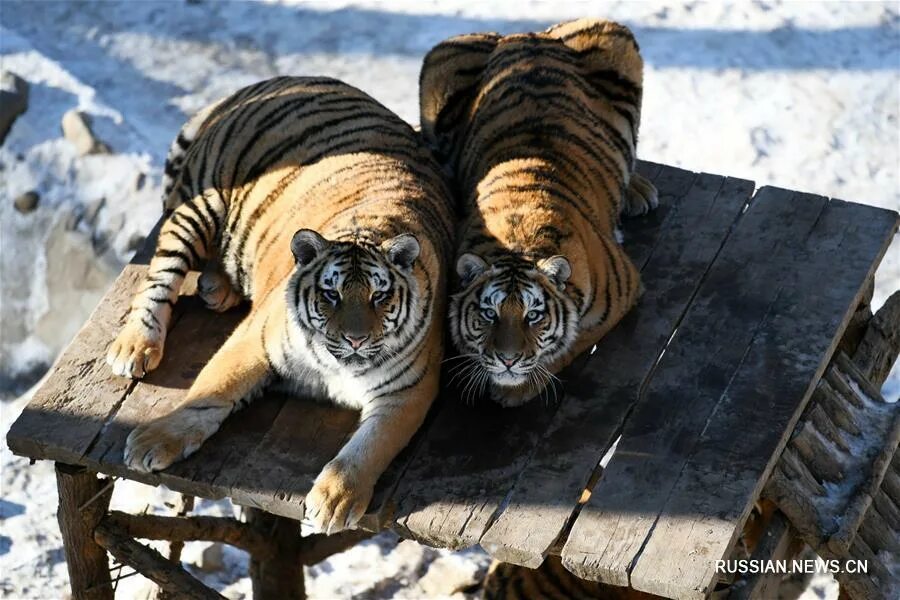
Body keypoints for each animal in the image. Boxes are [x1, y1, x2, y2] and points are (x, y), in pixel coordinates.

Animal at [108, 76, 454, 536]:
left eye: (379, 296)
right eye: (331, 294)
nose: (356, 340)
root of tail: (271, 81)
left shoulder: (410, 390)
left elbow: (371, 446)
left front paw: (335, 500)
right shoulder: (255, 340)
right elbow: (209, 393)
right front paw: (153, 440)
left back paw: (218, 288)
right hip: (199, 204)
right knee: (160, 277)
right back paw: (135, 346)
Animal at [418, 18, 656, 406]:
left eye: (534, 316)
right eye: (489, 314)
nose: (508, 359)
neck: (517, 241)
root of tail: (528, 34)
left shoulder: (624, 291)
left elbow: (571, 342)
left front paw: (518, 387)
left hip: (615, 37)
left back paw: (638, 191)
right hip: (441, 65)